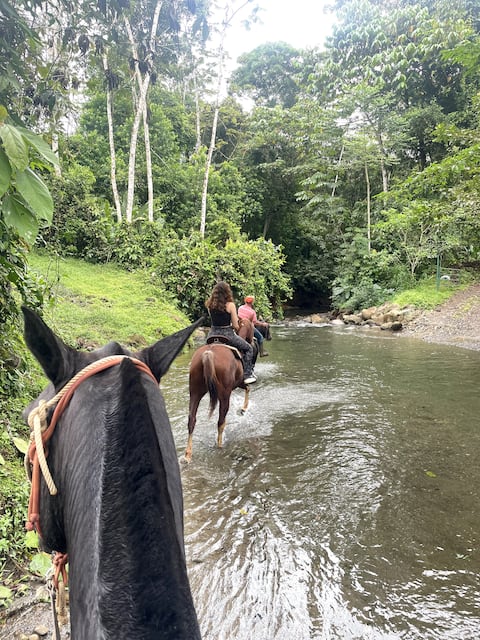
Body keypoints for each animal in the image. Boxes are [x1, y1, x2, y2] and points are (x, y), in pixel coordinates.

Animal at [184, 318, 256, 463]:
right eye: (252, 328)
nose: (252, 341)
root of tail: (208, 353)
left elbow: (247, 388)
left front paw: (243, 409)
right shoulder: (239, 382)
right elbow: (248, 386)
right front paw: (243, 409)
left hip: (195, 392)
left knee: (191, 420)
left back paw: (187, 455)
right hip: (224, 395)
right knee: (221, 421)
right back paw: (220, 445)